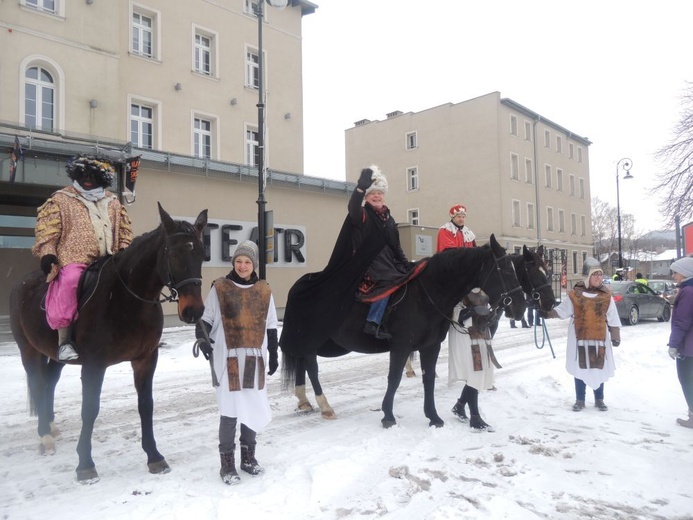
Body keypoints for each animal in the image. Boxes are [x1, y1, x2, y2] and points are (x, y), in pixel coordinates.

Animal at [9, 203, 207, 484]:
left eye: (202, 254)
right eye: (174, 253)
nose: (193, 311)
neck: (125, 298)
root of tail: (21, 283)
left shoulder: (146, 359)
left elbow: (146, 405)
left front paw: (154, 456)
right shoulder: (93, 365)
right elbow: (90, 409)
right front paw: (85, 464)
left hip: (56, 356)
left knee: (49, 382)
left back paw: (50, 425)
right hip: (27, 349)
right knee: (38, 385)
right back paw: (44, 436)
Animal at [282, 235, 524, 426]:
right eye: (504, 270)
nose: (520, 307)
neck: (427, 295)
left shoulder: (431, 346)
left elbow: (429, 378)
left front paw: (433, 416)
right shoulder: (401, 346)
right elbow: (394, 378)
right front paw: (388, 415)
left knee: (303, 363)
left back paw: (304, 400)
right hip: (311, 338)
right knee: (311, 367)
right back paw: (324, 405)